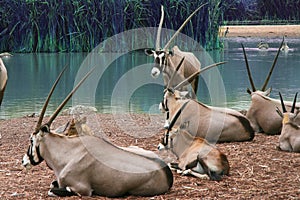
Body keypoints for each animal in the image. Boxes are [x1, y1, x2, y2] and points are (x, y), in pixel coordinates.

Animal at [21, 66, 173, 197]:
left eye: (31, 140)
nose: (24, 161)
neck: (67, 152)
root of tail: (167, 173)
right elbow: (52, 184)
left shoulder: (81, 189)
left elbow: (51, 190)